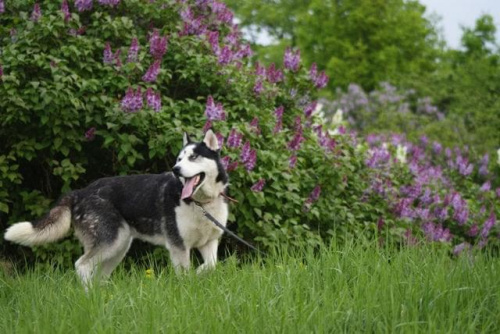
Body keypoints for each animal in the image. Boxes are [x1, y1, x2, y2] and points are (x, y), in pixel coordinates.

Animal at [4, 129, 229, 284]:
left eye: (193, 157)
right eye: (179, 159)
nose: (176, 169)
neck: (201, 203)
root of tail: (80, 192)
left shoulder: (209, 243)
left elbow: (211, 265)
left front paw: (199, 272)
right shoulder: (178, 246)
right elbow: (185, 274)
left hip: (118, 248)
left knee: (99, 276)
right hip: (110, 242)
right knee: (82, 265)